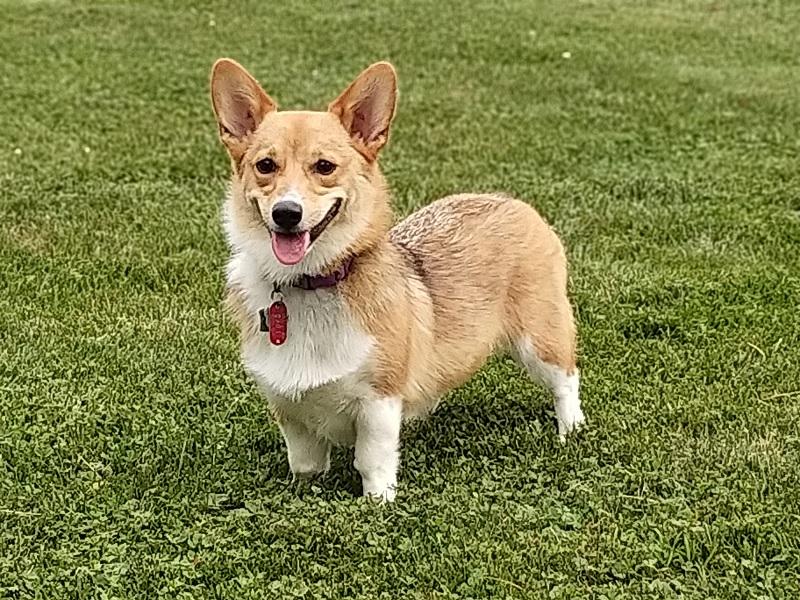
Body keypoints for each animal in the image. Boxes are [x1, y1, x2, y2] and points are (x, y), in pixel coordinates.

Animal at [211, 59, 588, 502]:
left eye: (324, 167)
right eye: (265, 166)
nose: (287, 213)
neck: (308, 283)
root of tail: (513, 202)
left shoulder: (378, 401)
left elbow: (371, 463)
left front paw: (379, 504)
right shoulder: (289, 407)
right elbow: (304, 465)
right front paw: (305, 493)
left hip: (539, 338)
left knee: (566, 380)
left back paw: (570, 429)